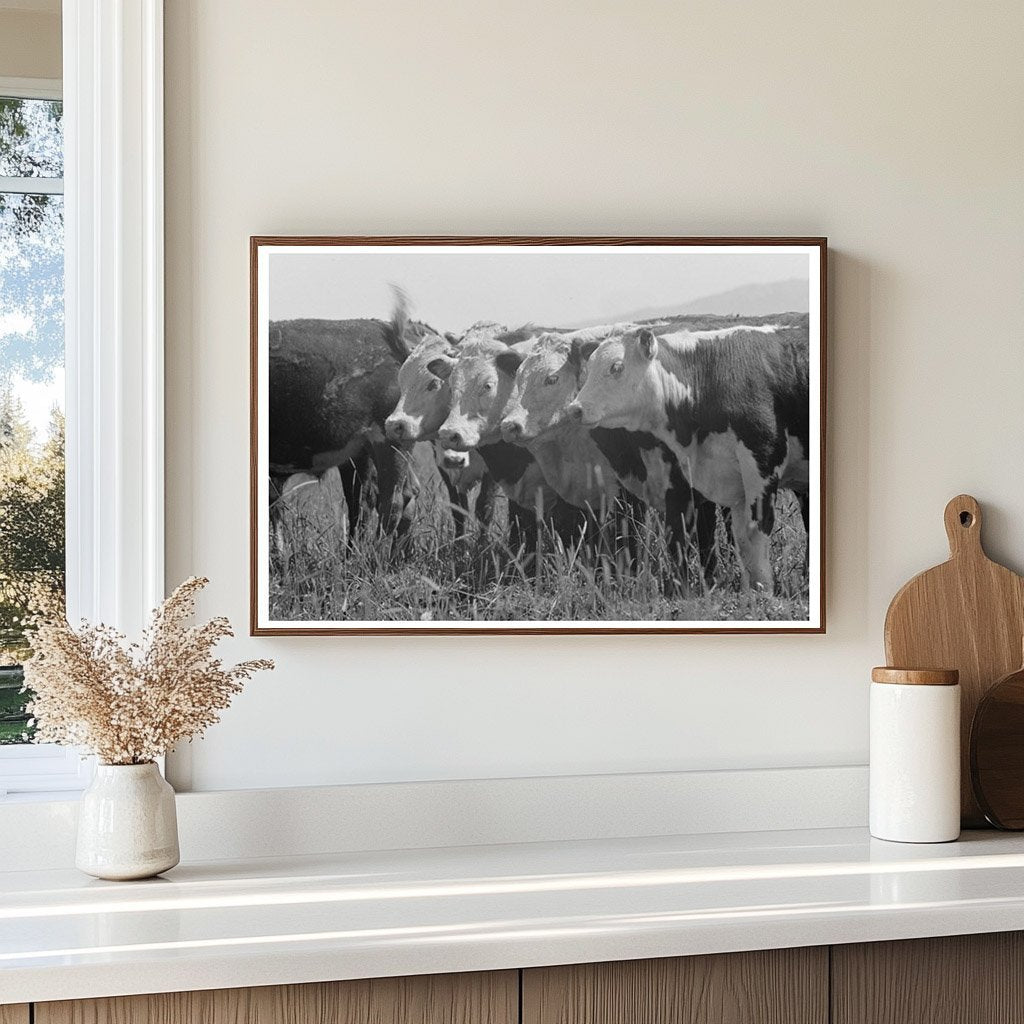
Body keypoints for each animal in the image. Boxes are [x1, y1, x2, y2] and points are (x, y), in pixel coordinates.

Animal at [565, 319, 811, 593]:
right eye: (588, 369)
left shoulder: (762, 462)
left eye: (616, 367)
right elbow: (740, 537)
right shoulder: (729, 482)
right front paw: (749, 591)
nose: (575, 409)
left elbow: (755, 529)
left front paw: (763, 591)